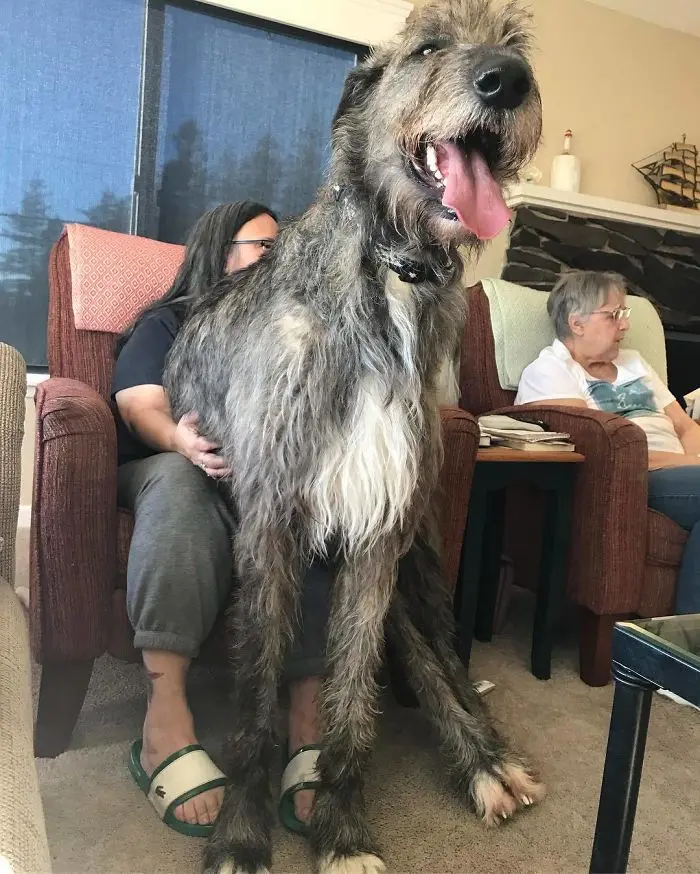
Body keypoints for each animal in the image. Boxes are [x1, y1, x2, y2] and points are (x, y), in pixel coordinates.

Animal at [165, 3, 548, 868]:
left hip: (421, 561)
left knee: (439, 657)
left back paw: (490, 762)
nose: (507, 81)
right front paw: (243, 834)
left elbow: (350, 701)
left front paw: (341, 828)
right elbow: (260, 700)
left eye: (514, 45)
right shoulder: (273, 521)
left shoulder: (379, 532)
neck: (390, 278)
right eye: (429, 47)